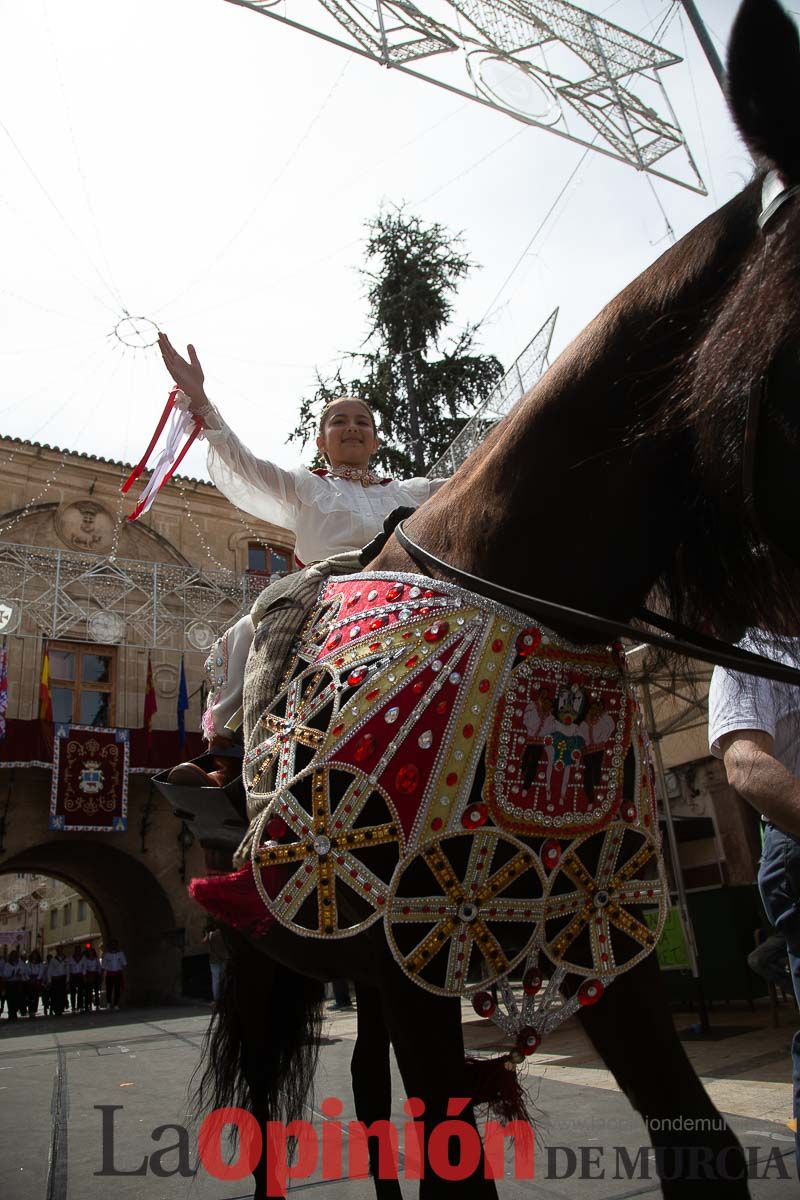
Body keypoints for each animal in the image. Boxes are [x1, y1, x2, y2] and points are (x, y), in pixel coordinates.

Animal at [191, 4, 800, 1195]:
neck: (529, 595)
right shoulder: (407, 949)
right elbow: (449, 1148)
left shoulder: (596, 938)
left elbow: (699, 1146)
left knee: (370, 1094)